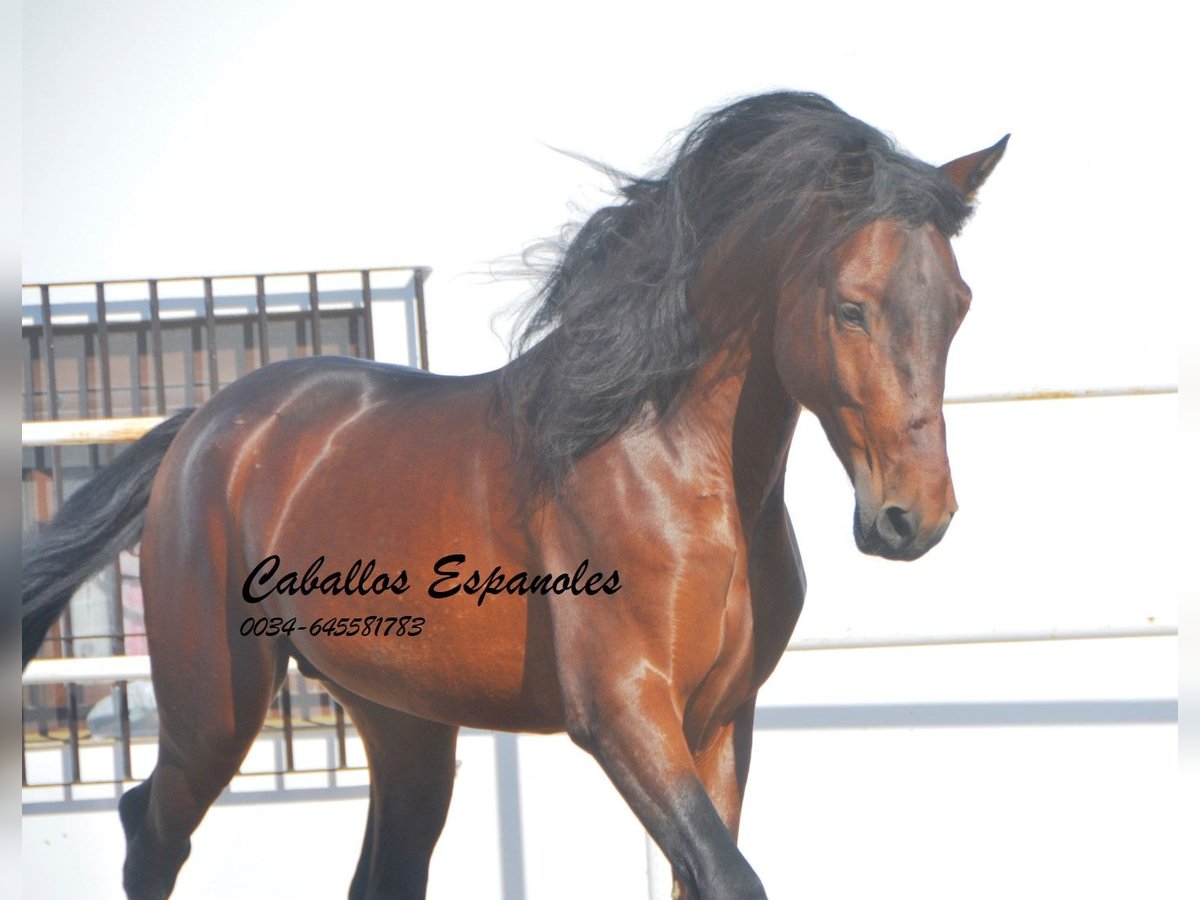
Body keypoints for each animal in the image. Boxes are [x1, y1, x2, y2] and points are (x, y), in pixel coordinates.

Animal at [23, 93, 1008, 900]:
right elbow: (731, 877)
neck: (670, 461)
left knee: (381, 875)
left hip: (406, 724)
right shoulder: (621, 710)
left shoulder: (722, 719)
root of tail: (206, 426)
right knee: (151, 833)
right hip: (213, 707)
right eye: (851, 307)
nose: (913, 518)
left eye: (960, 304)